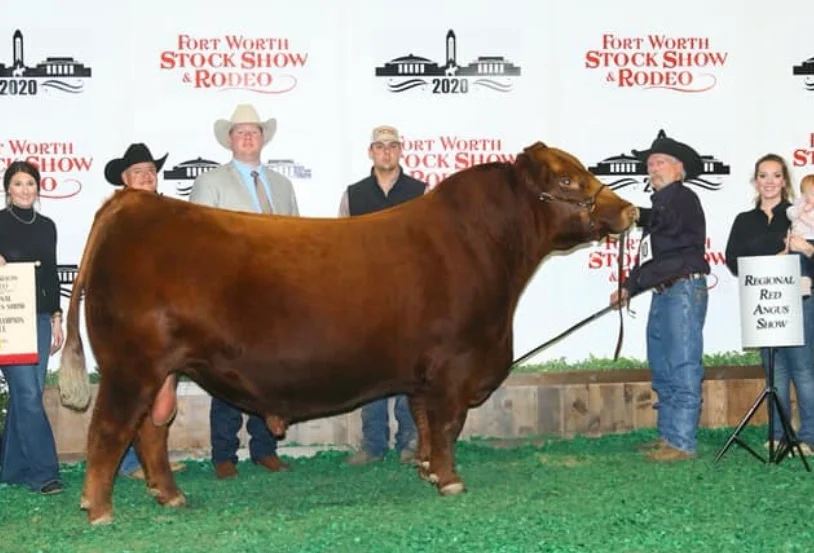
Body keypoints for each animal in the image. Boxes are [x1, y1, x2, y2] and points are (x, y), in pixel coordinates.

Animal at [58, 142, 638, 525]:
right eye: (567, 181)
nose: (630, 209)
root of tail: (134, 202)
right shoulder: (454, 365)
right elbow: (447, 424)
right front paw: (450, 480)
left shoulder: (423, 374)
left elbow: (423, 422)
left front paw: (426, 470)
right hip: (130, 364)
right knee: (110, 429)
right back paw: (99, 510)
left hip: (164, 369)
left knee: (151, 430)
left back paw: (170, 495)